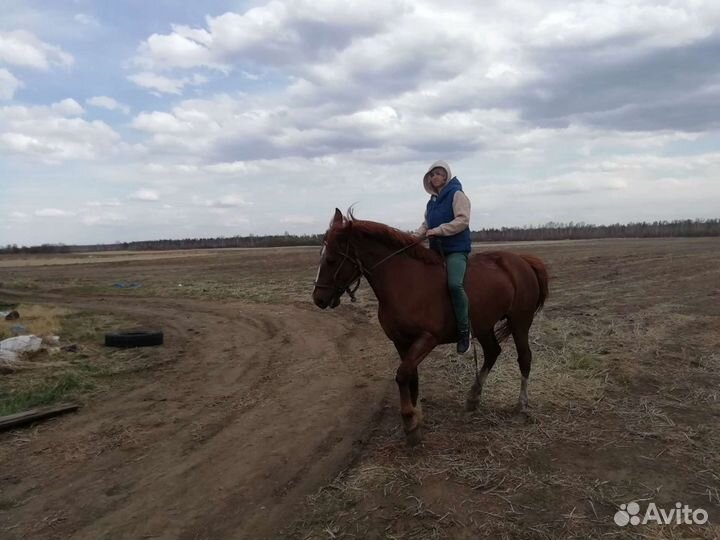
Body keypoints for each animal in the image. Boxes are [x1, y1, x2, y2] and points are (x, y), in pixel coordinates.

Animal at [312, 209, 548, 446]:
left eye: (331, 260)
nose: (318, 298)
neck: (405, 282)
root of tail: (523, 261)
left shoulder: (428, 338)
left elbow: (402, 374)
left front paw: (409, 421)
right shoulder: (401, 341)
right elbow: (411, 376)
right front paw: (416, 418)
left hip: (520, 322)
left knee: (524, 358)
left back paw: (521, 406)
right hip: (484, 325)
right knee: (492, 352)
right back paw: (473, 397)